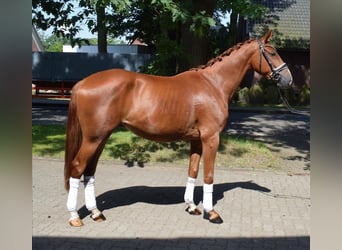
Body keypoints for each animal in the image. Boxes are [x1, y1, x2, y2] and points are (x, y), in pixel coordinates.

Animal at [63, 29, 292, 227]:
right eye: (272, 52)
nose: (288, 79)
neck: (213, 84)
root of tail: (81, 84)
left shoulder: (196, 139)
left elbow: (193, 170)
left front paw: (192, 207)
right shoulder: (211, 138)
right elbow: (209, 175)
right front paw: (212, 213)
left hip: (100, 138)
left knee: (89, 171)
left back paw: (96, 213)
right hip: (93, 139)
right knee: (77, 167)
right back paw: (74, 216)